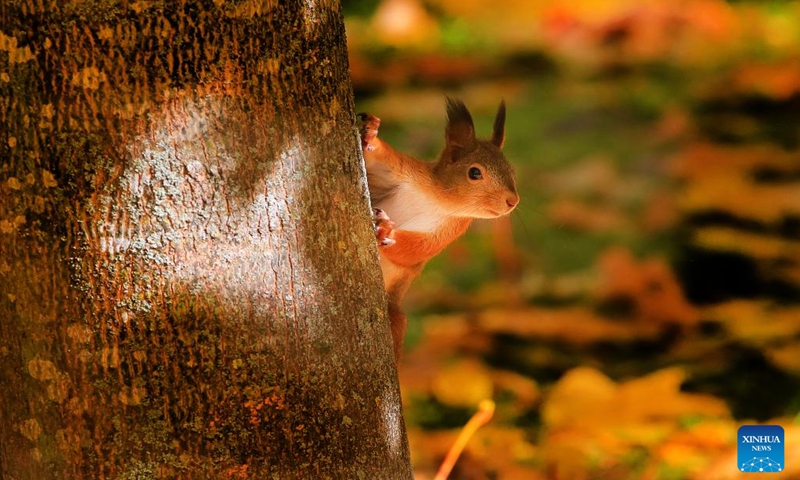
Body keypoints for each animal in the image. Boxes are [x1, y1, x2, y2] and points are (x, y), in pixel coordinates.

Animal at [358, 97, 519, 360]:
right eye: (474, 172)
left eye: (511, 170)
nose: (512, 201)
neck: (436, 199)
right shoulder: (403, 172)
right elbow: (380, 159)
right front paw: (370, 135)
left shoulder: (448, 230)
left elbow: (417, 249)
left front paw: (387, 232)